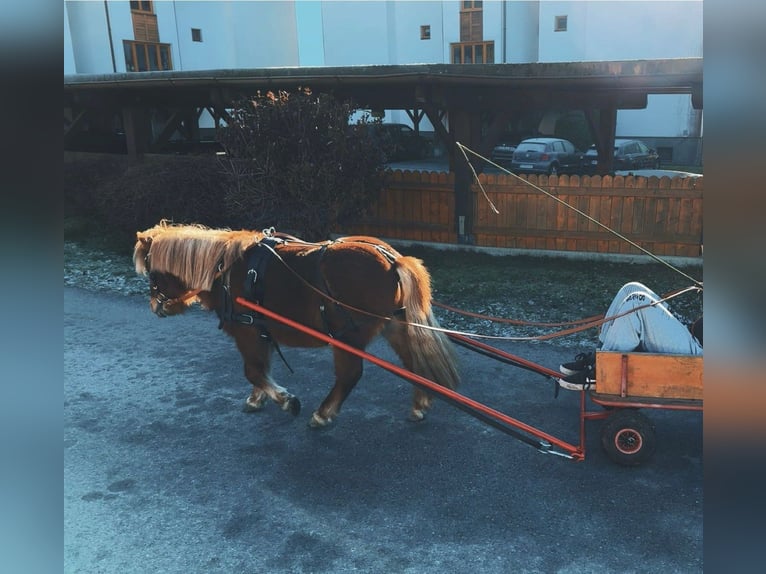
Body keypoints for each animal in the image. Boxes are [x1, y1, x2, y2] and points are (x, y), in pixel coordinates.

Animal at [134, 223, 462, 430]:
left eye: (153, 274)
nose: (156, 308)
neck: (224, 270)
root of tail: (392, 258)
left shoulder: (246, 332)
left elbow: (253, 371)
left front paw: (285, 400)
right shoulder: (260, 333)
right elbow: (260, 370)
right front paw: (258, 398)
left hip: (347, 336)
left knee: (350, 375)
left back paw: (323, 414)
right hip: (395, 326)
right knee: (413, 364)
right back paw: (419, 404)